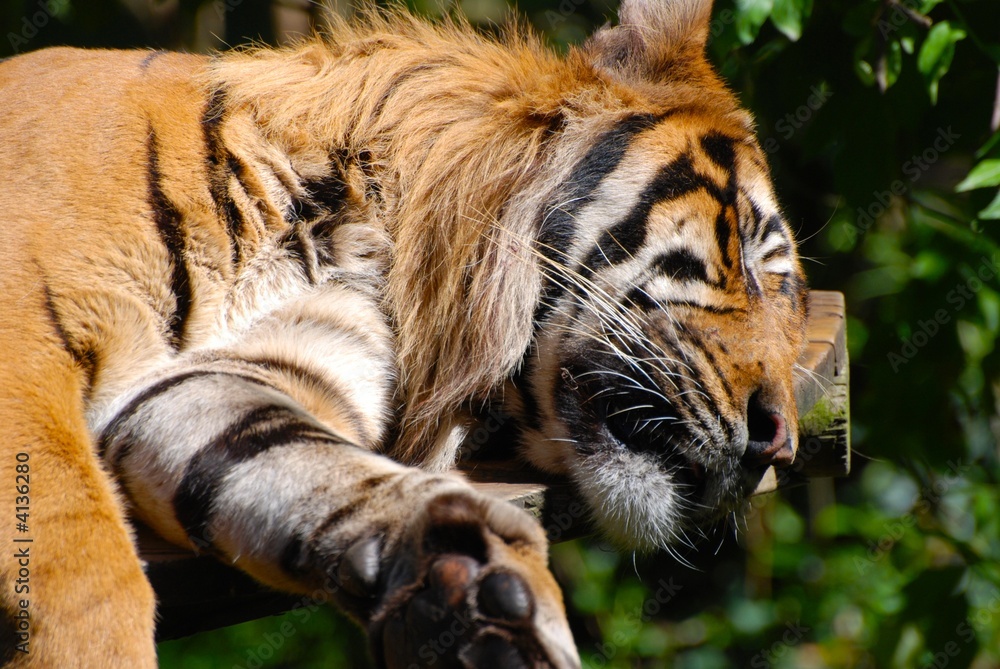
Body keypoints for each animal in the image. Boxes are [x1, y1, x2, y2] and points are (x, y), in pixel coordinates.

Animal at [0, 0, 807, 665]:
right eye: (749, 262)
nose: (779, 446)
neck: (361, 227)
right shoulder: (24, 361)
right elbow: (89, 568)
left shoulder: (254, 368)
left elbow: (283, 454)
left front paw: (469, 581)